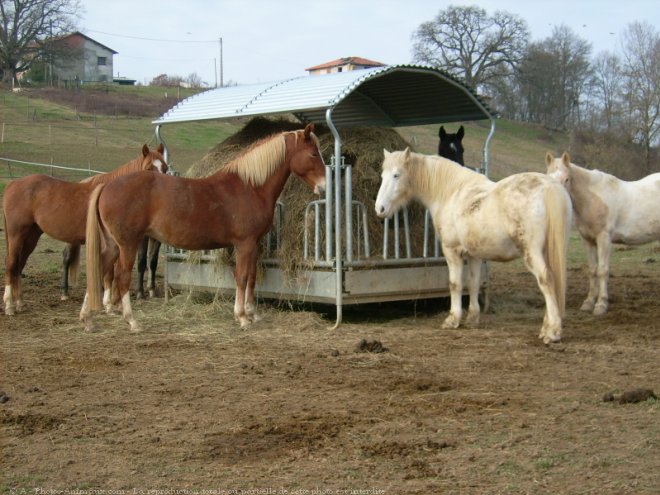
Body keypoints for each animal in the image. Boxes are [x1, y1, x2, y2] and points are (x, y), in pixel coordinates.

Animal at [3, 143, 168, 316]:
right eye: (148, 168)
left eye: (165, 168)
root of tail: (13, 184)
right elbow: (112, 273)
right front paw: (110, 304)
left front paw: (111, 304)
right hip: (17, 234)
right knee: (11, 263)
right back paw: (10, 306)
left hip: (31, 236)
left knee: (19, 265)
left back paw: (20, 303)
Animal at [81, 124, 326, 334]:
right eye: (314, 154)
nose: (324, 187)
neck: (249, 187)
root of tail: (107, 186)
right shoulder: (244, 243)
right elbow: (242, 277)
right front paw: (242, 317)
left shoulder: (254, 244)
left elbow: (252, 276)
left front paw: (252, 313)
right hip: (128, 244)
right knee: (121, 276)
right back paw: (132, 321)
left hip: (113, 245)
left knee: (99, 269)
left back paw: (87, 319)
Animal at [376, 148, 572, 344]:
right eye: (383, 175)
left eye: (396, 175)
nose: (380, 209)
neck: (450, 192)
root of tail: (549, 187)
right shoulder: (474, 255)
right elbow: (473, 283)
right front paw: (472, 318)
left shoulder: (452, 251)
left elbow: (455, 284)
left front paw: (453, 319)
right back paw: (546, 327)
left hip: (532, 253)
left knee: (546, 280)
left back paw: (552, 332)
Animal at [544, 151, 660, 316]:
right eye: (548, 176)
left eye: (566, 179)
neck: (593, 199)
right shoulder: (588, 240)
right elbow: (592, 270)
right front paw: (588, 302)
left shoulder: (604, 238)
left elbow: (602, 270)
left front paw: (601, 305)